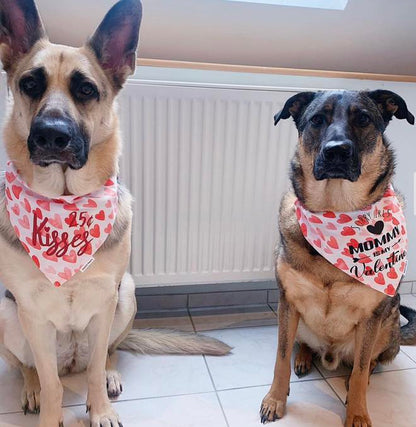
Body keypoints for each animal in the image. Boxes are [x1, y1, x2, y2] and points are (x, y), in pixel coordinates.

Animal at [0, 0, 231, 427]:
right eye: (30, 84)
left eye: (86, 90)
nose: (51, 135)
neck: (66, 204)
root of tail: (70, 360)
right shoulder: (31, 313)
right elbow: (51, 384)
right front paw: (50, 410)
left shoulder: (106, 299)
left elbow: (95, 367)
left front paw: (100, 409)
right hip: (7, 316)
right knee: (30, 367)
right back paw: (32, 388)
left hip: (126, 296)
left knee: (104, 354)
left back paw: (106, 376)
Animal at [260, 90, 416, 427]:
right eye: (317, 120)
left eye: (363, 119)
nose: (337, 151)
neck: (337, 209)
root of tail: (331, 355)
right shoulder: (288, 302)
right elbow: (280, 357)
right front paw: (275, 399)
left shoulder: (371, 316)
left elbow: (359, 369)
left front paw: (356, 412)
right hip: (297, 320)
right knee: (303, 343)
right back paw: (305, 358)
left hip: (388, 324)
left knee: (368, 362)